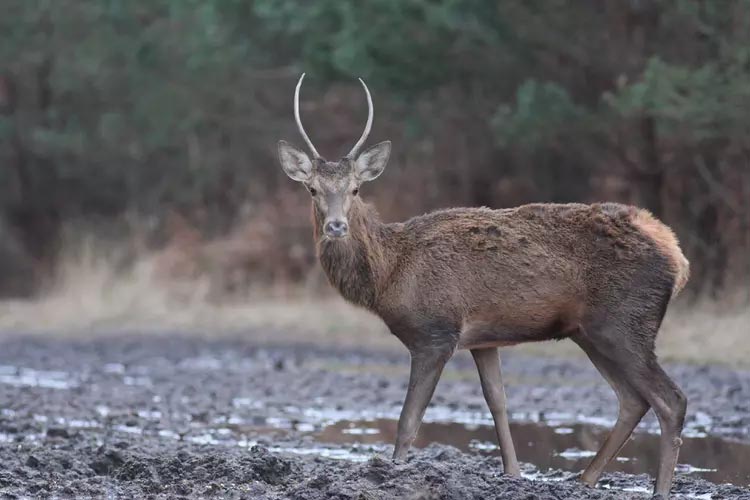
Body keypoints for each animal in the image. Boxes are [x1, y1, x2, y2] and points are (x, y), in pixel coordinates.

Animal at [278, 73, 692, 496]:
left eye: (356, 189)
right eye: (312, 189)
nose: (336, 226)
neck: (389, 274)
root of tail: (677, 256)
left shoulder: (435, 332)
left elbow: (409, 420)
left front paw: (393, 473)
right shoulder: (483, 338)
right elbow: (497, 402)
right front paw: (513, 473)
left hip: (624, 322)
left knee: (671, 399)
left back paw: (657, 490)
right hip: (590, 331)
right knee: (632, 400)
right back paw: (584, 479)